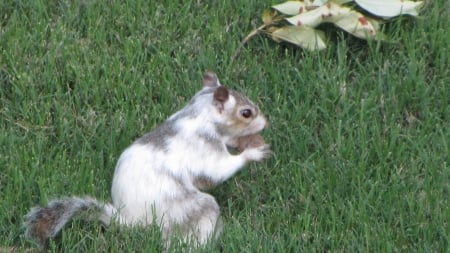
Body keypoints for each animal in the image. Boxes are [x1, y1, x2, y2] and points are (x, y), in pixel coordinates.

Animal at [23, 71, 270, 249]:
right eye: (246, 113)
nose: (265, 122)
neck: (198, 114)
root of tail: (133, 222)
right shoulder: (204, 148)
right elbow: (218, 170)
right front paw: (253, 153)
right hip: (185, 210)